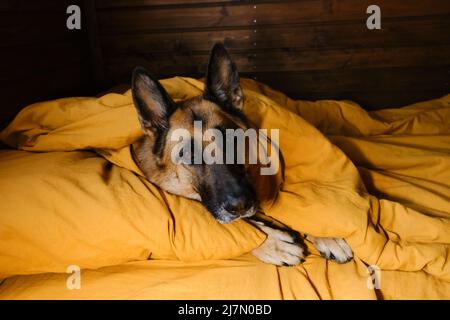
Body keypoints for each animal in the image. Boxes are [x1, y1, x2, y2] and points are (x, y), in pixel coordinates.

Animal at [128, 43, 354, 266]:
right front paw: (274, 244)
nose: (240, 206)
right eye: (188, 154)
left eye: (231, 139)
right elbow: (245, 228)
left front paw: (328, 236)